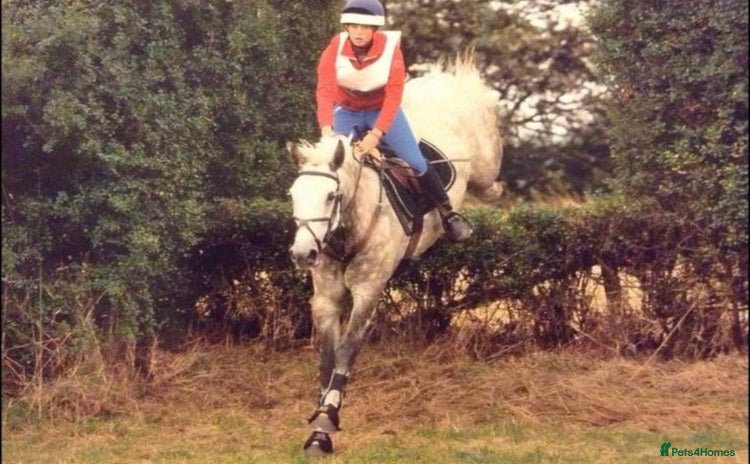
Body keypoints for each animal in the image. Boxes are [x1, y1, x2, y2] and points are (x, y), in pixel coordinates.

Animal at [287, 53, 503, 456]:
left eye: (330, 196)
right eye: (293, 195)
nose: (303, 252)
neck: (347, 228)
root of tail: (446, 81)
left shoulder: (368, 292)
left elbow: (346, 351)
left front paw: (327, 420)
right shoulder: (325, 297)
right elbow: (327, 357)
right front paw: (318, 424)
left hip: (484, 163)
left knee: (488, 182)